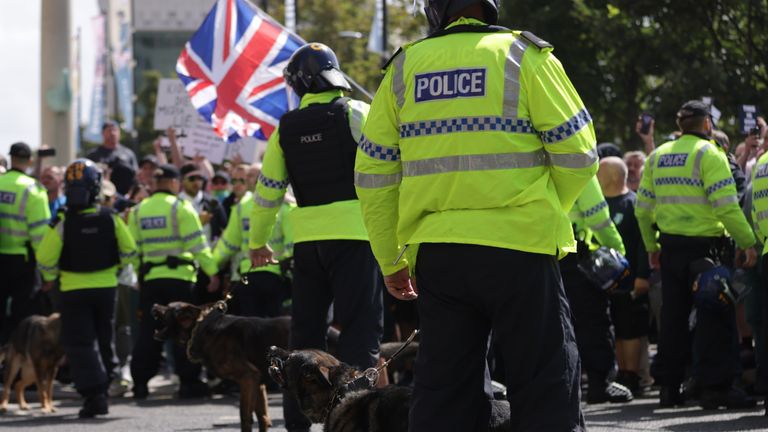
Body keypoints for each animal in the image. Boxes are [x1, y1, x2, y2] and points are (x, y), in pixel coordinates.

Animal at [152, 302, 290, 430]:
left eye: (169, 308)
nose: (154, 306)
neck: (202, 326)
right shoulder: (258, 383)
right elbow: (263, 417)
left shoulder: (248, 378)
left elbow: (245, 416)